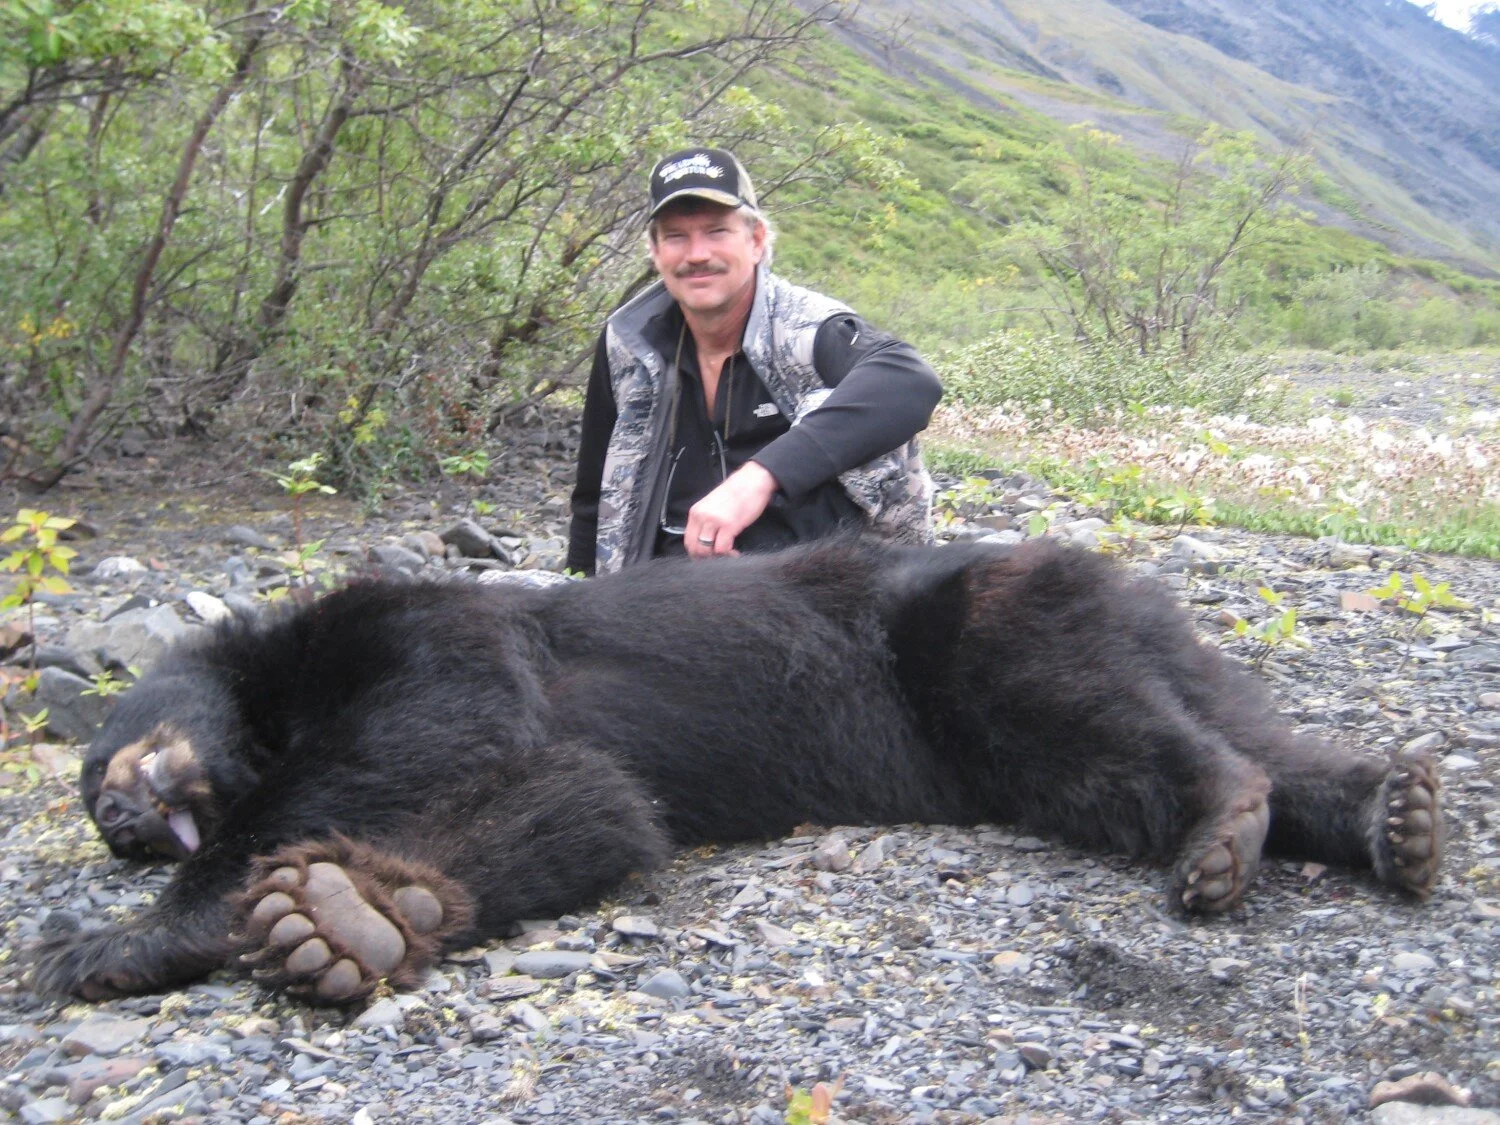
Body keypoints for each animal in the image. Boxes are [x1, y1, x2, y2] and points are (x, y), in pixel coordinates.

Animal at [30, 537, 1443, 1005]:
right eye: (98, 811)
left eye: (108, 762)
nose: (125, 821)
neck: (282, 675)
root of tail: (1125, 581)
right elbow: (591, 803)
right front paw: (347, 914)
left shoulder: (426, 632)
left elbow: (428, 731)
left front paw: (108, 940)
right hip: (1067, 699)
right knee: (1214, 739)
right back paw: (1396, 812)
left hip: (983, 628)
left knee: (1098, 717)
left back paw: (1224, 827)